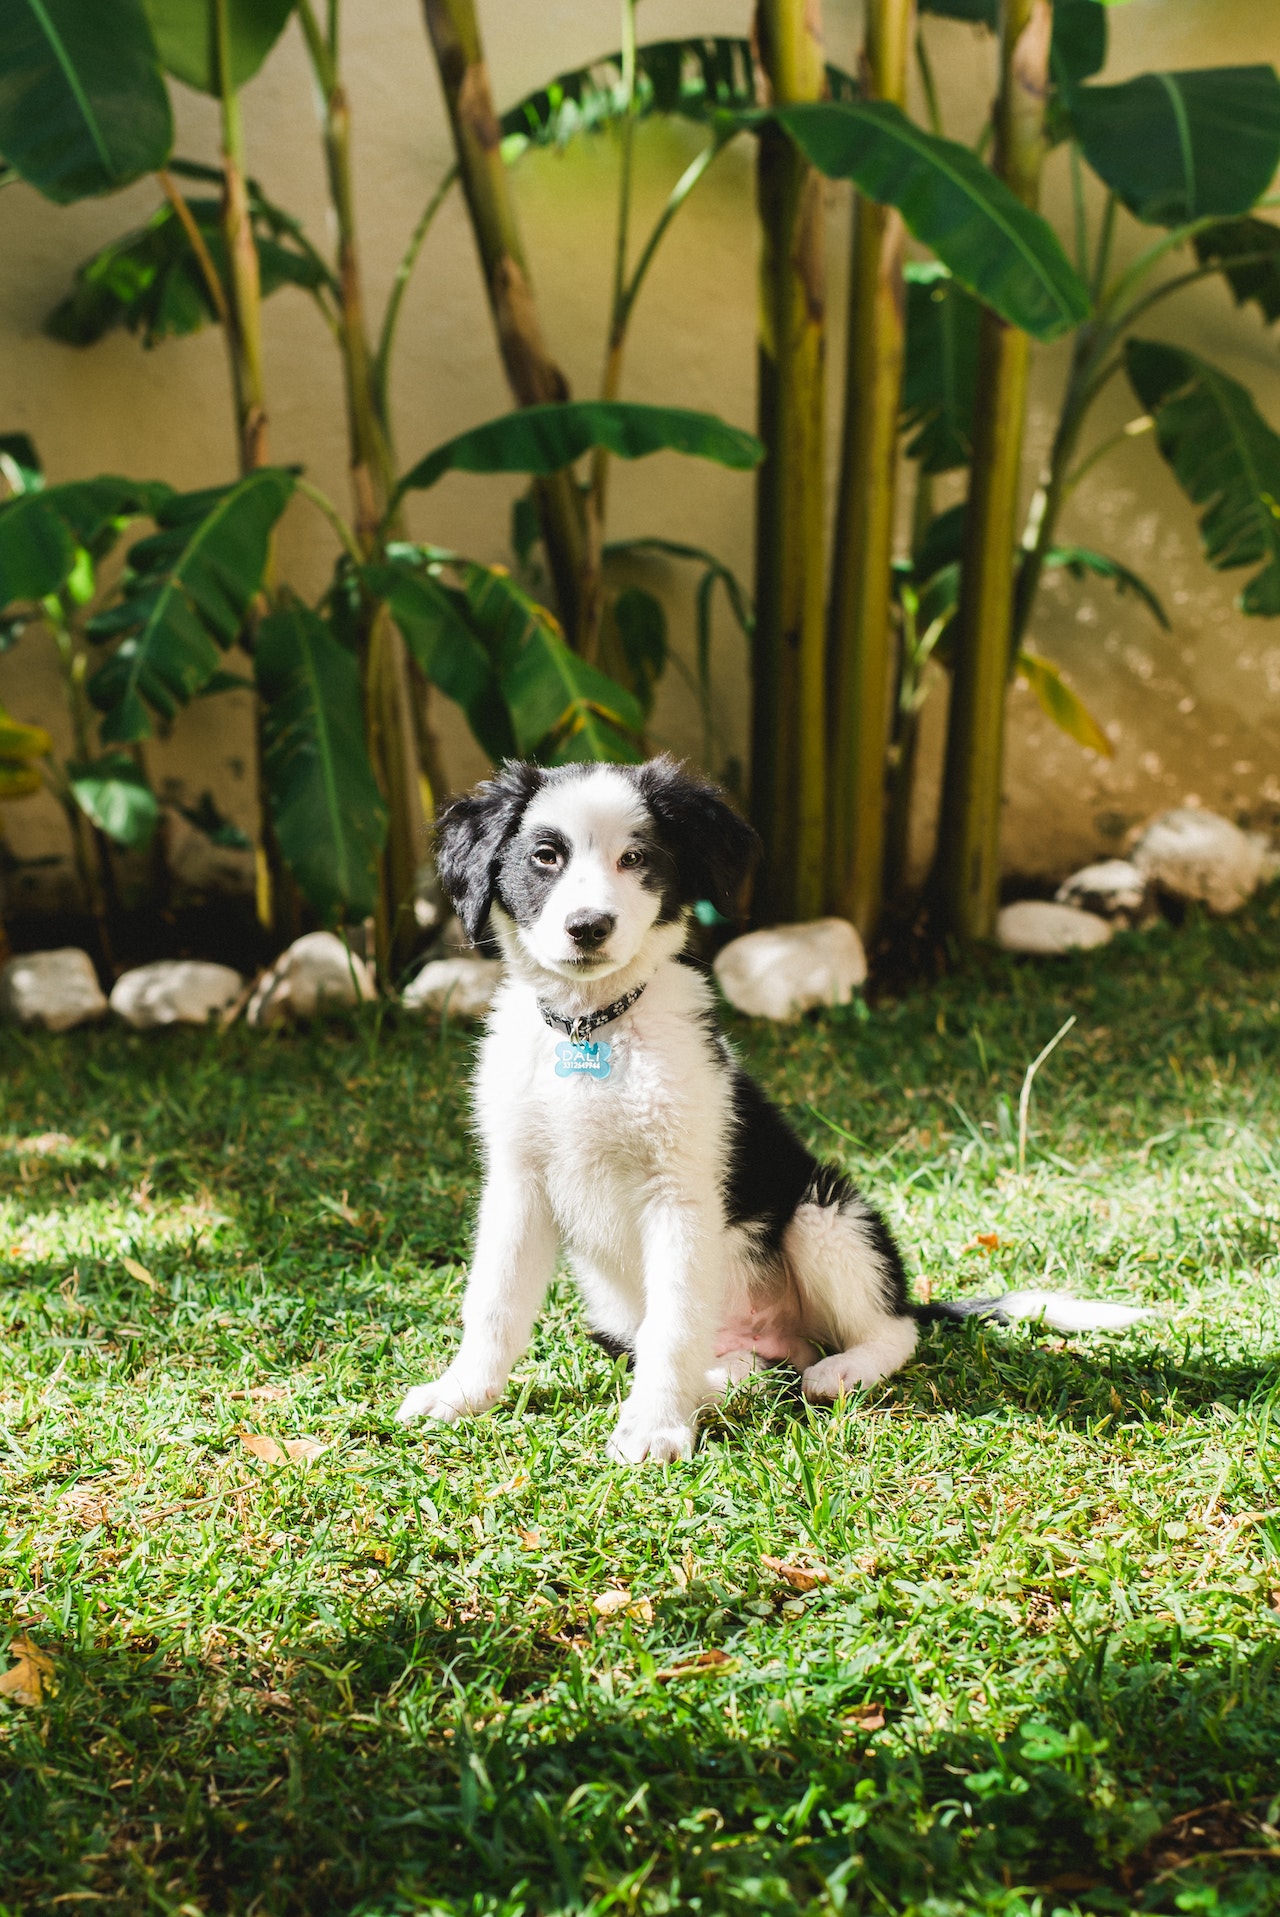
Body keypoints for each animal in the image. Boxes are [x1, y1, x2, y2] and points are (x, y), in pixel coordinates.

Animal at [396, 755, 1142, 1456]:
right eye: (544, 857)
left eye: (636, 858)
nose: (588, 928)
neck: (592, 1028)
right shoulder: (517, 1181)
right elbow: (493, 1303)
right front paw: (461, 1393)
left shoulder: (681, 1190)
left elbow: (673, 1324)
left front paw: (655, 1426)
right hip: (620, 1309)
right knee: (747, 1363)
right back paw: (724, 1382)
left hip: (826, 1211)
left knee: (892, 1330)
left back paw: (837, 1371)